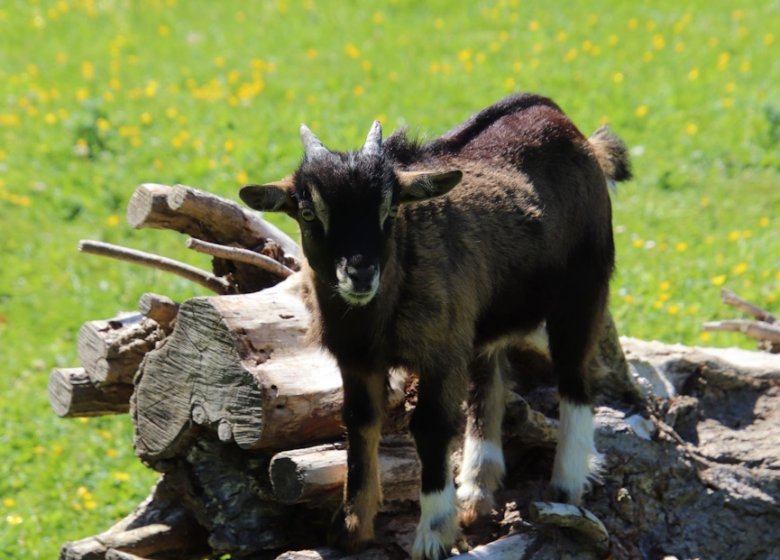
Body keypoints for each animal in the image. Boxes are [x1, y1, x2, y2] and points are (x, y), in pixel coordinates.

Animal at [241, 94, 632, 556]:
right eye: (306, 212)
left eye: (390, 208)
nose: (360, 274)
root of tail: (570, 127)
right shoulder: (357, 360)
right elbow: (358, 420)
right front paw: (352, 526)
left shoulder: (439, 352)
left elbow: (430, 426)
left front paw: (433, 532)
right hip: (481, 321)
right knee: (488, 383)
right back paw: (476, 491)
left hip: (584, 289)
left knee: (575, 380)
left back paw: (566, 487)